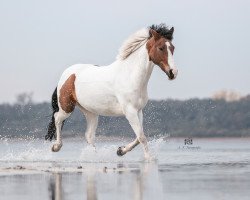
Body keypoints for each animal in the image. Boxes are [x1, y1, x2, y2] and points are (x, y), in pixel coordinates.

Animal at [45, 23, 178, 159]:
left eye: (172, 48)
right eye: (161, 48)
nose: (173, 72)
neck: (130, 76)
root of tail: (67, 74)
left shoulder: (138, 111)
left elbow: (138, 136)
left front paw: (121, 150)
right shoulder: (130, 111)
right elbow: (141, 137)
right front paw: (149, 158)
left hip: (90, 112)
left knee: (89, 135)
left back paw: (95, 156)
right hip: (67, 108)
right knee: (57, 119)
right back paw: (56, 146)